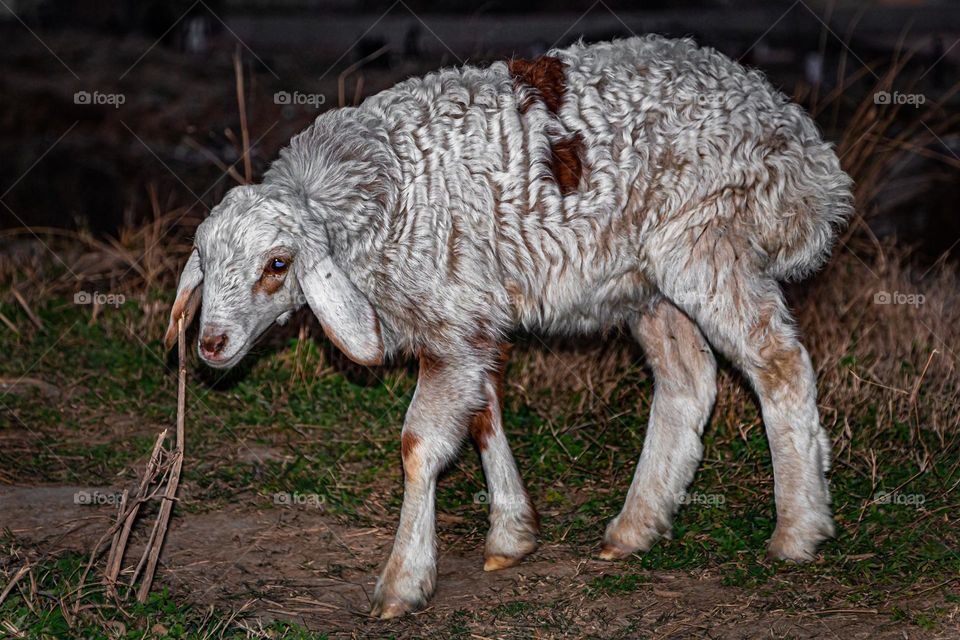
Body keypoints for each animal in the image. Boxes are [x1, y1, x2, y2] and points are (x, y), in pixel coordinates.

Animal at [166, 35, 853, 618]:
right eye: (204, 260)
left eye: (278, 265)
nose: (212, 344)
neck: (377, 195)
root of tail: (808, 152)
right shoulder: (470, 320)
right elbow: (483, 414)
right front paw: (512, 536)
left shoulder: (452, 314)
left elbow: (419, 446)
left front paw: (402, 581)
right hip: (645, 277)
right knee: (687, 378)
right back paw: (636, 527)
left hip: (709, 239)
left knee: (778, 362)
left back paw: (797, 531)